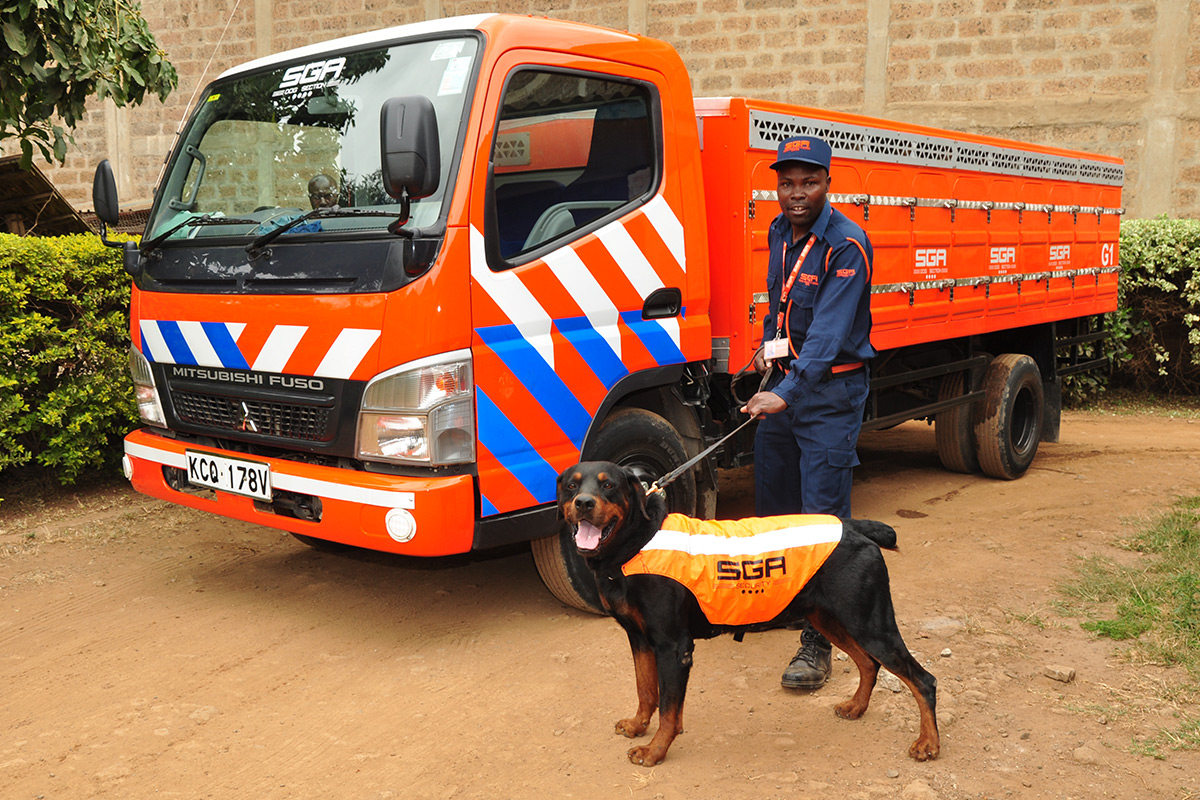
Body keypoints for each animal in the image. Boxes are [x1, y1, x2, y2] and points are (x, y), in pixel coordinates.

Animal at [556, 462, 940, 767]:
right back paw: (857, 707)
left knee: (923, 680)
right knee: (868, 664)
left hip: (870, 624)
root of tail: (858, 527)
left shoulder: (672, 646)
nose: (584, 503)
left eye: (608, 485)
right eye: (571, 485)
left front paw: (655, 750)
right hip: (831, 619)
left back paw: (928, 743)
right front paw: (638, 726)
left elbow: (668, 709)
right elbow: (645, 690)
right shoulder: (639, 640)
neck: (637, 542)